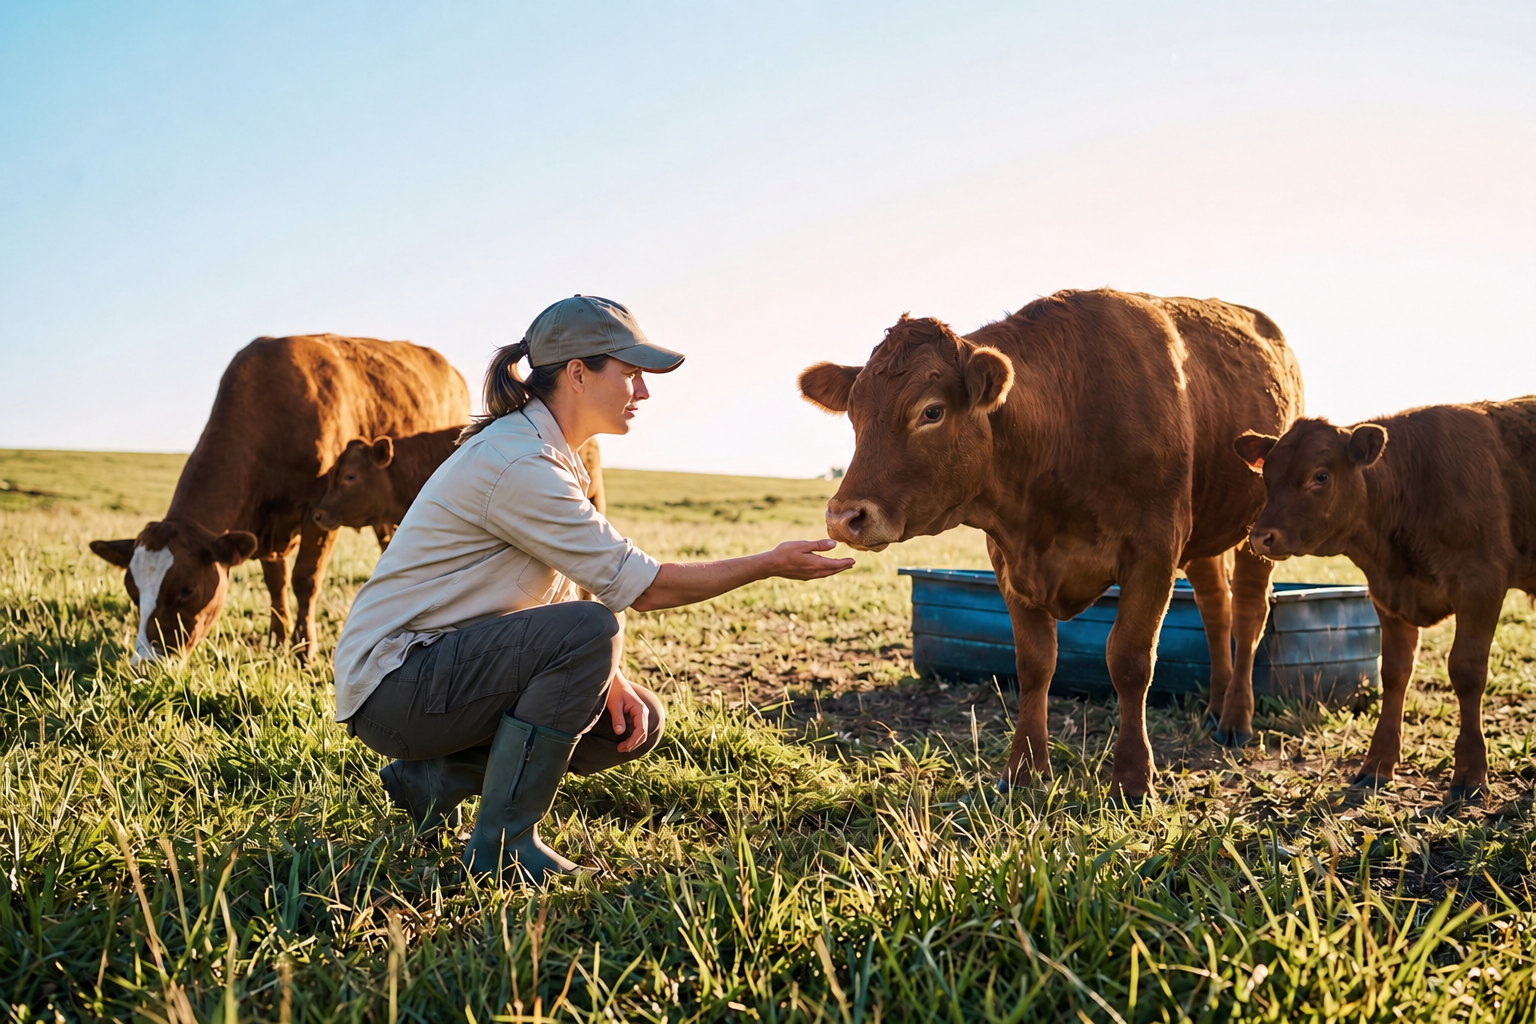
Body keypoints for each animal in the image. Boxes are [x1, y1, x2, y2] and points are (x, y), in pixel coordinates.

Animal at [89, 334, 470, 665]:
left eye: (186, 589)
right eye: (133, 591)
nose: (145, 663)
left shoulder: (319, 514)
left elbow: (305, 580)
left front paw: (304, 649)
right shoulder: (266, 529)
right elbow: (276, 583)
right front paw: (278, 639)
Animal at [799, 289, 1304, 801]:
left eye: (932, 411)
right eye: (855, 413)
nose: (843, 517)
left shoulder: (1154, 549)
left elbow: (1130, 660)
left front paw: (1132, 780)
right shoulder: (1008, 559)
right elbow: (1034, 663)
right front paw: (1023, 770)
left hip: (1256, 531)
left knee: (1247, 614)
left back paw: (1236, 720)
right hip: (1204, 535)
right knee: (1215, 609)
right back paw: (1213, 710)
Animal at [1236, 396, 1536, 802]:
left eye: (1321, 476)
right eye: (1267, 476)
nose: (1259, 537)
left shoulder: (1482, 582)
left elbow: (1466, 671)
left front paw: (1470, 773)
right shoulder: (1387, 596)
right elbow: (1394, 673)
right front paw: (1378, 764)